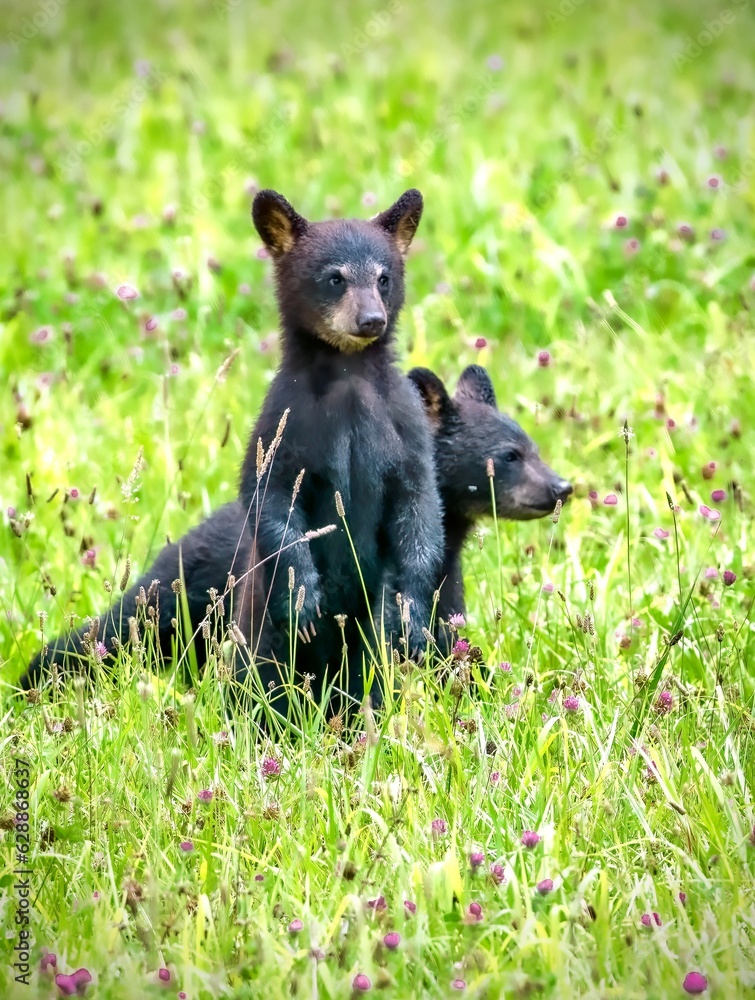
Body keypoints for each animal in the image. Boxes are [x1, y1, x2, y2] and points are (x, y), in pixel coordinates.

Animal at [20, 366, 572, 702]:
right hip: (181, 597)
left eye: (534, 447)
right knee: (111, 630)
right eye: (508, 456)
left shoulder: (438, 587)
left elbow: (444, 647)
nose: (562, 487)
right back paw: (40, 676)